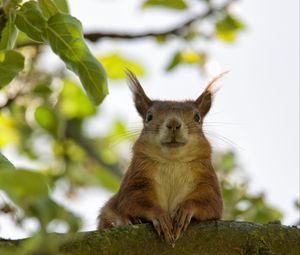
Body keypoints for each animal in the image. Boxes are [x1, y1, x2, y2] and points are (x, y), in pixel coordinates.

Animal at [96, 69, 225, 245]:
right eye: (149, 116)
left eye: (197, 117)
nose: (173, 124)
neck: (173, 162)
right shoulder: (136, 179)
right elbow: (132, 200)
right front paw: (160, 216)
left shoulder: (207, 181)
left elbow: (211, 204)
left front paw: (185, 210)